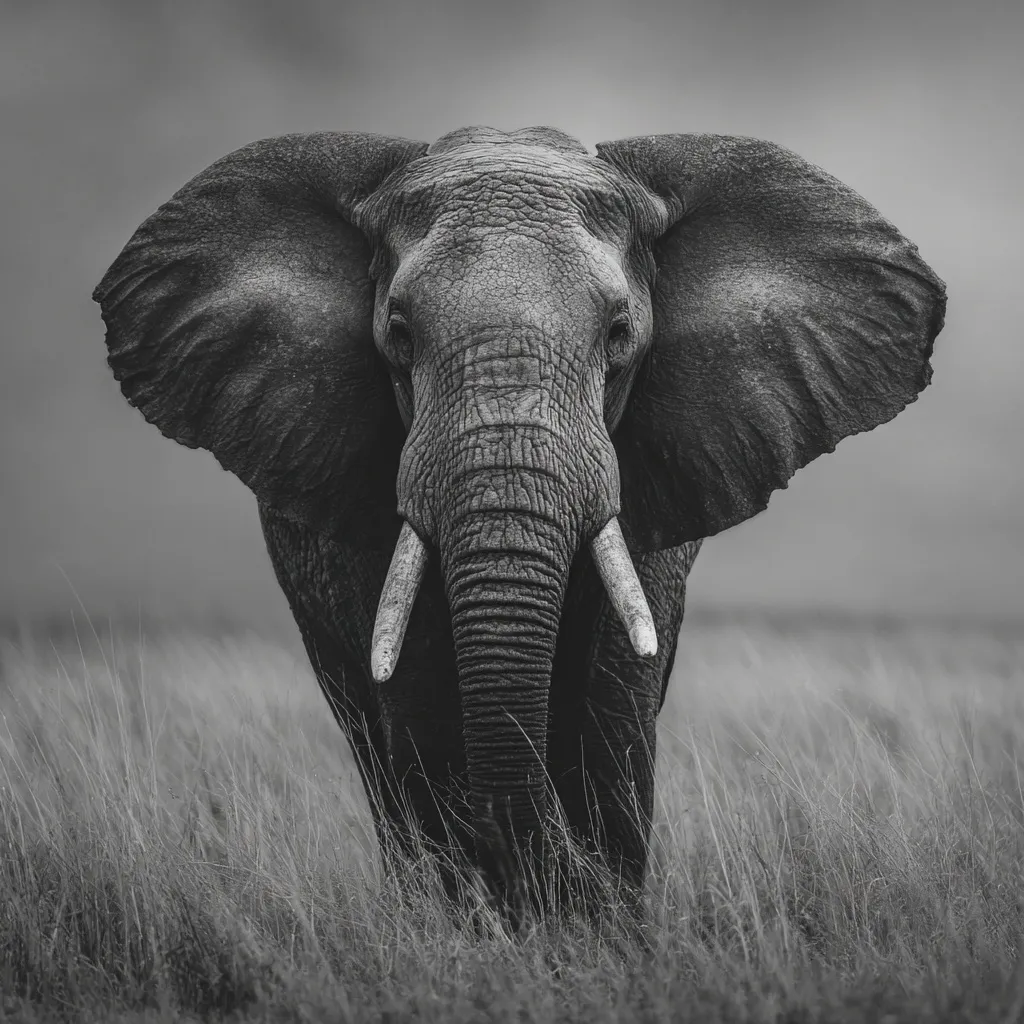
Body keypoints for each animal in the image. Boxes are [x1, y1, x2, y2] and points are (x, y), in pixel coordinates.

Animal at [94, 125, 945, 921]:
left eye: (618, 336)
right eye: (399, 334)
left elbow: (611, 706)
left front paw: (600, 929)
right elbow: (424, 709)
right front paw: (490, 924)